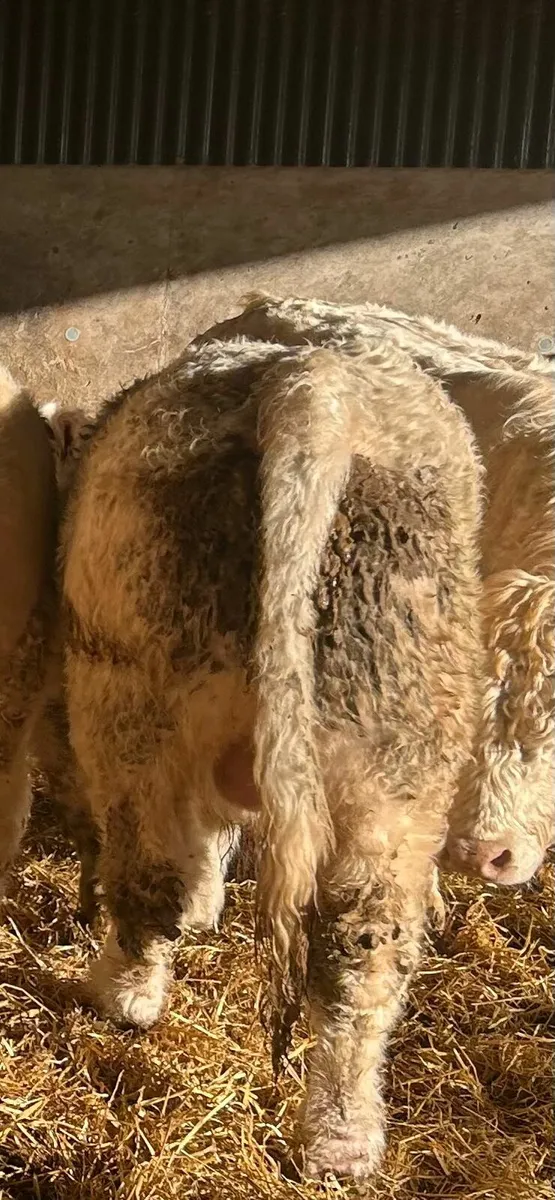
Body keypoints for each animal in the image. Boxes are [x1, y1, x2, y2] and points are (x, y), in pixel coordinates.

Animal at [58, 332, 484, 1178]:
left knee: (151, 869)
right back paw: (341, 1141)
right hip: (395, 749)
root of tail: (309, 387)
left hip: (127, 691)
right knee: (361, 943)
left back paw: (123, 996)